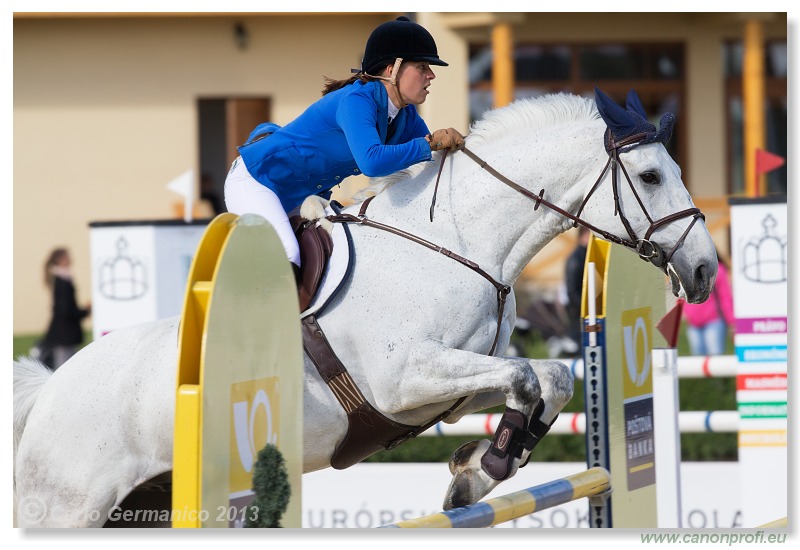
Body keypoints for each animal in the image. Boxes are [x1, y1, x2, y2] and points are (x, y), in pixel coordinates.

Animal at [12, 91, 716, 532]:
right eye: (651, 177)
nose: (707, 269)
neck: (459, 242)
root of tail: (49, 391)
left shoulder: (450, 389)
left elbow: (553, 378)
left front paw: (477, 472)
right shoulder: (405, 380)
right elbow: (525, 377)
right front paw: (483, 469)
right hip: (69, 507)